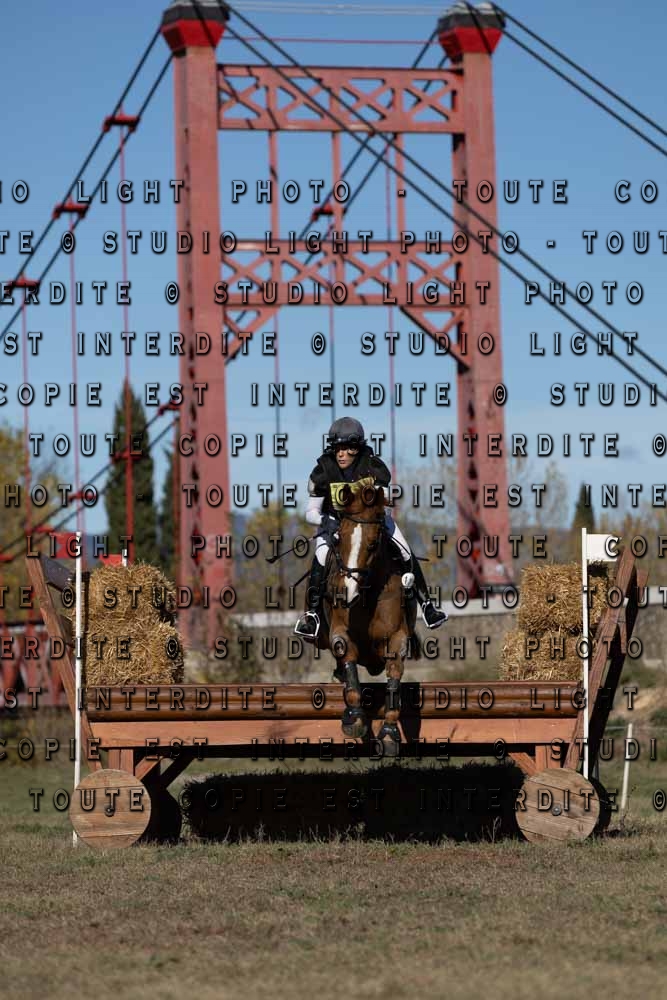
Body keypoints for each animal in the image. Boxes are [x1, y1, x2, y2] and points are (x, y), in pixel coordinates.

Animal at [315, 476, 420, 756]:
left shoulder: (397, 636)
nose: (344, 594)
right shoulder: (340, 632)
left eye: (372, 544)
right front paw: (354, 719)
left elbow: (394, 675)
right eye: (339, 540)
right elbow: (348, 662)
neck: (366, 595)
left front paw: (389, 733)